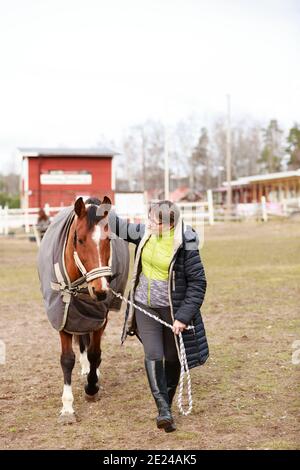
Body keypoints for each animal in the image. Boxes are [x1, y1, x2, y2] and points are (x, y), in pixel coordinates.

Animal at [36, 196, 129, 424]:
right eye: (79, 240)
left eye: (109, 240)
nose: (101, 290)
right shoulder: (63, 316)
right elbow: (67, 359)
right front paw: (67, 407)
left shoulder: (99, 318)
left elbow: (96, 353)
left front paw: (92, 387)